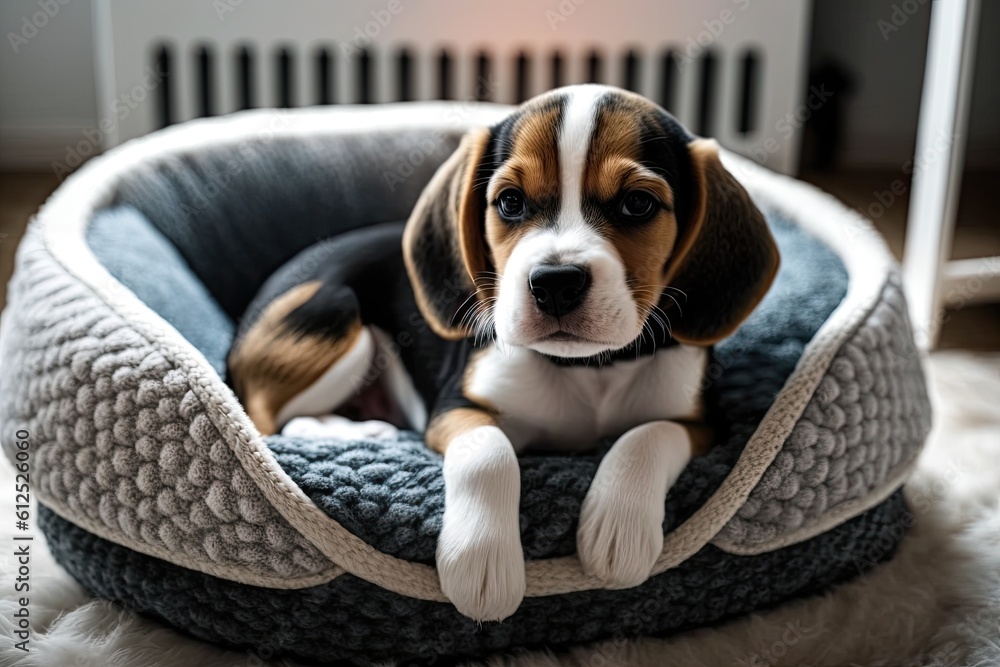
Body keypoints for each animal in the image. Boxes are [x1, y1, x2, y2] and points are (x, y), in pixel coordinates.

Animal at [229, 86, 780, 624]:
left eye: (638, 204)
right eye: (510, 202)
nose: (555, 283)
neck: (588, 366)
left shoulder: (701, 422)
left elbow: (647, 434)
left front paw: (619, 529)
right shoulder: (456, 406)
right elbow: (489, 453)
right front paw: (480, 560)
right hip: (339, 314)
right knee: (265, 418)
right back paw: (360, 432)